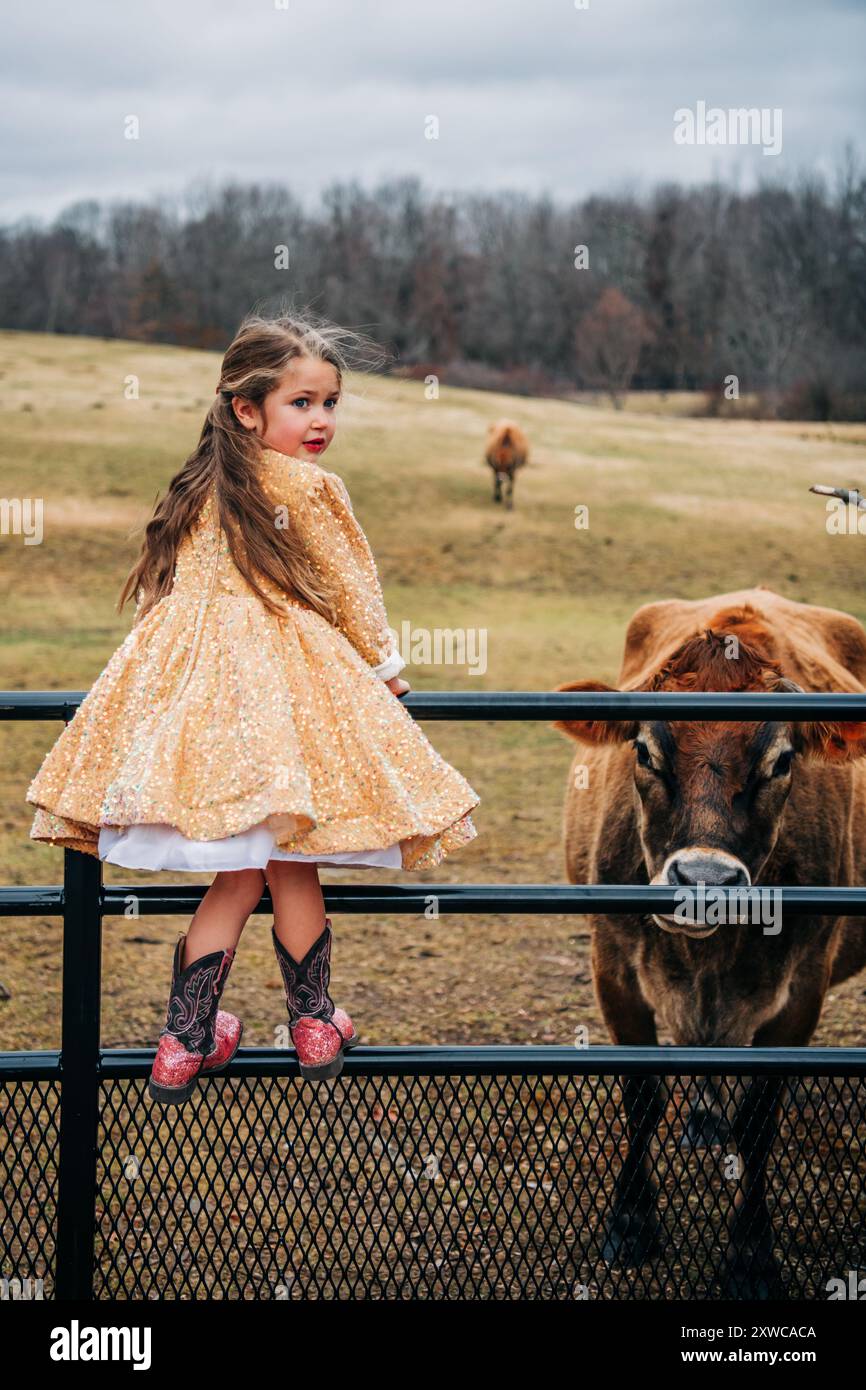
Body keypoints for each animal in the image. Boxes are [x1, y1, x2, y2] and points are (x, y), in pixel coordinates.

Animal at [553, 581, 866, 1295]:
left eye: (782, 761)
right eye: (645, 751)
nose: (704, 880)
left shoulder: (801, 987)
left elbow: (759, 1124)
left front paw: (750, 1255)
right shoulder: (613, 969)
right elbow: (643, 1101)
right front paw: (631, 1224)